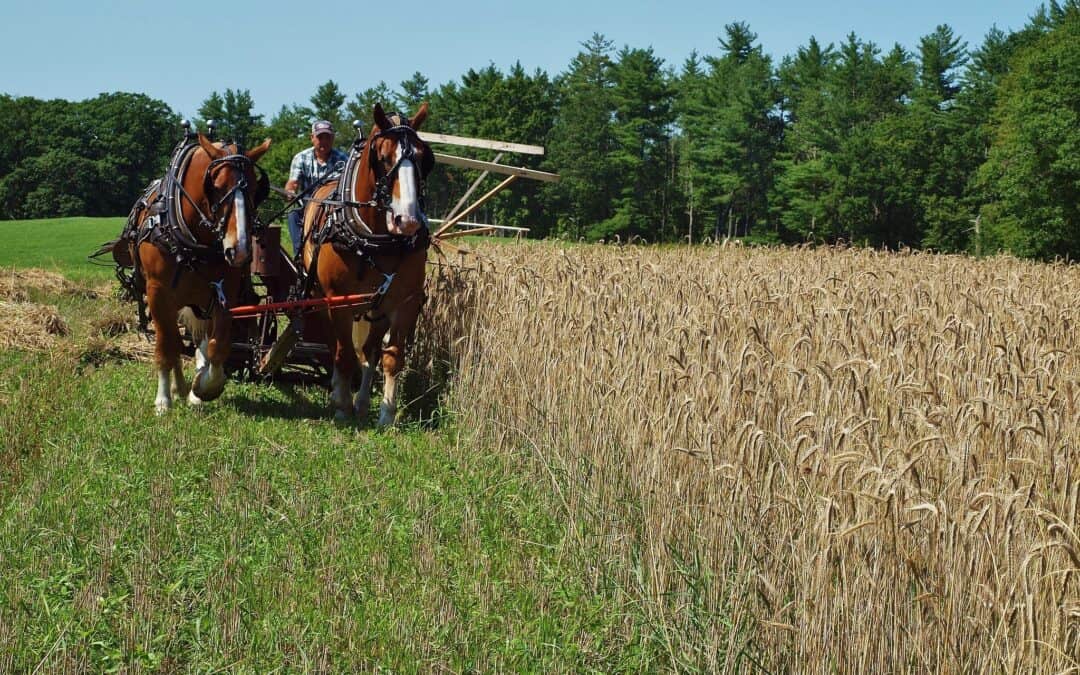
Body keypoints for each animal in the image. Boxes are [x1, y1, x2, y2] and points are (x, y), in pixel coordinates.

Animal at [127, 132, 270, 410]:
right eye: (217, 187)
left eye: (255, 189)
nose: (240, 250)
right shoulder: (158, 294)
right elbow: (166, 347)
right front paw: (163, 400)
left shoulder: (224, 294)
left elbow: (217, 346)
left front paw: (205, 386)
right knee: (172, 341)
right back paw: (176, 389)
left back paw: (187, 388)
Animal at [302, 102, 432, 423]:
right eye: (383, 158)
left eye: (424, 158)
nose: (407, 221)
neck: (374, 238)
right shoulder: (338, 301)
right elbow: (345, 354)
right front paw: (342, 405)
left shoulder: (403, 301)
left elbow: (391, 356)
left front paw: (386, 414)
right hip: (320, 296)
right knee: (335, 345)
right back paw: (340, 394)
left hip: (377, 306)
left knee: (371, 350)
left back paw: (361, 402)